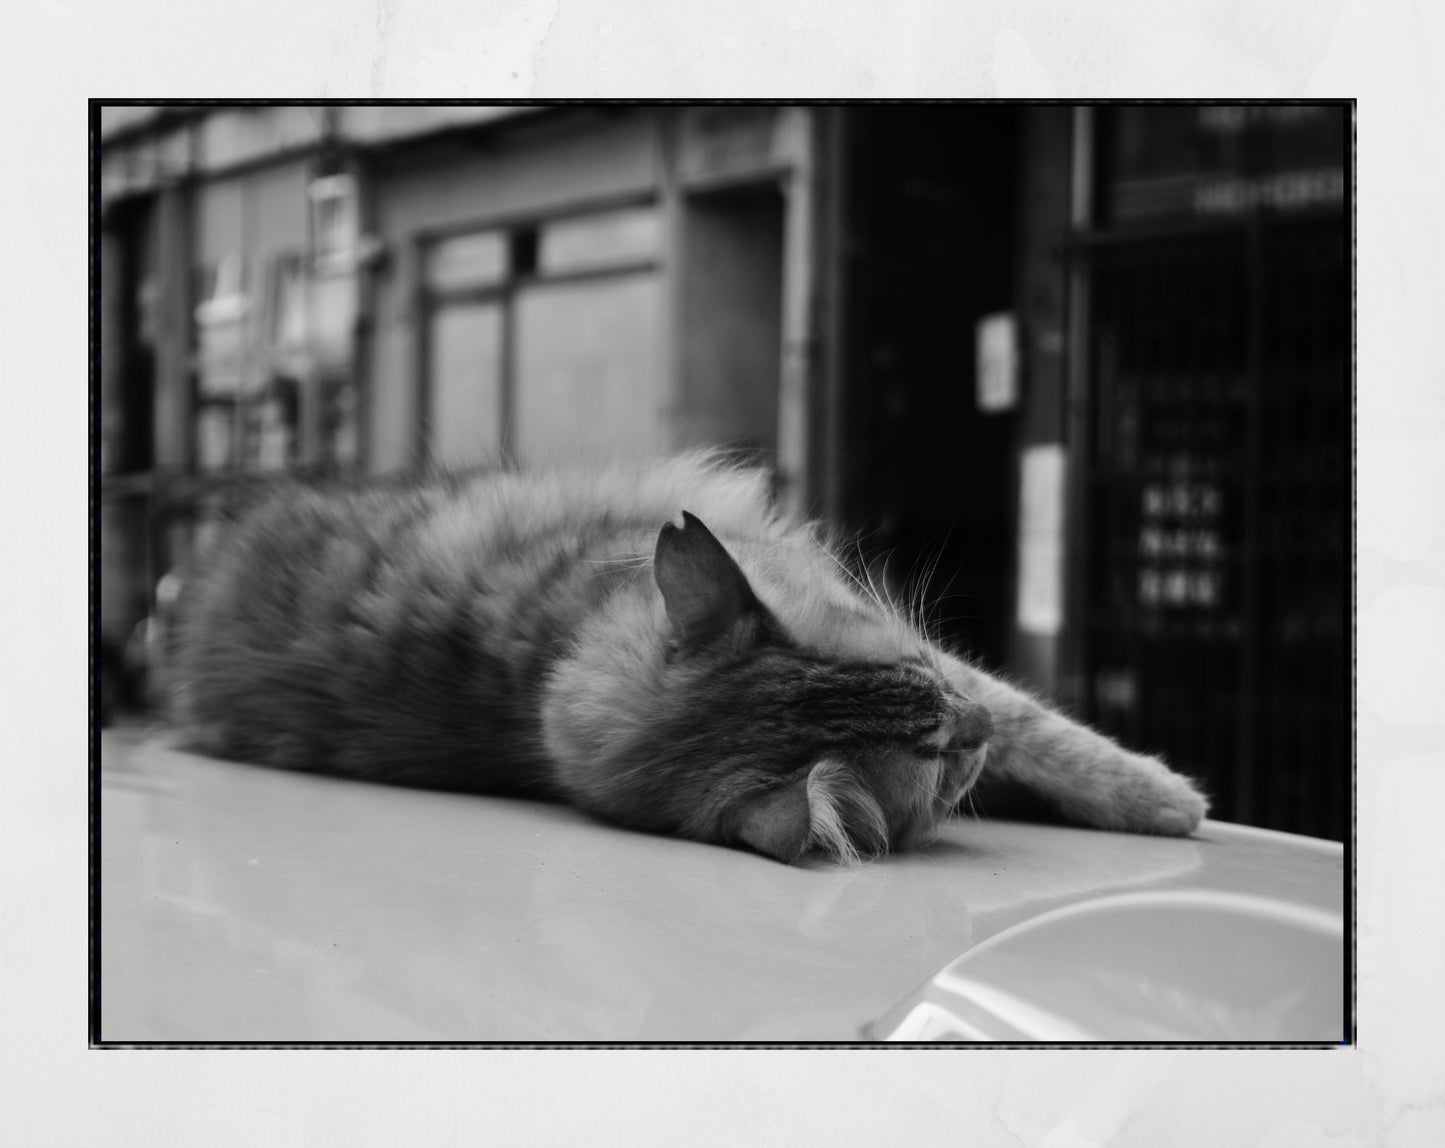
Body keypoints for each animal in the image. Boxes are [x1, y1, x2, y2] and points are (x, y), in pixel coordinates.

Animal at [171, 451, 1208, 861]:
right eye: (938, 759)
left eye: (914, 663)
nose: (975, 728)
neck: (539, 663)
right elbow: (1050, 728)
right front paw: (1168, 799)